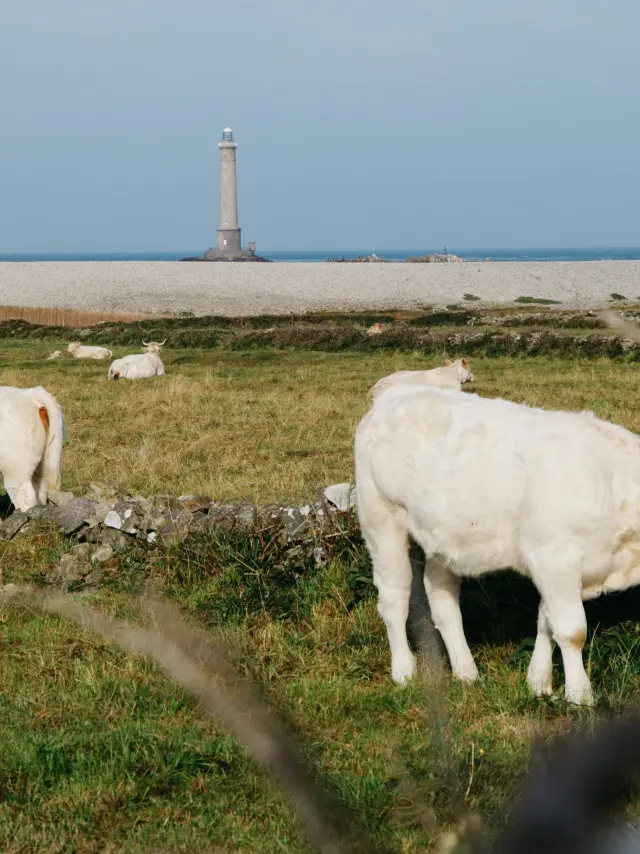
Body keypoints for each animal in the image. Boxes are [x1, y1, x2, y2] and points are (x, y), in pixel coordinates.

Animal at [354, 383, 640, 705]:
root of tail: (394, 394)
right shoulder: (554, 557)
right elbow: (571, 630)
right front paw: (579, 696)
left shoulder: (552, 566)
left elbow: (546, 621)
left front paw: (538, 683)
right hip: (381, 519)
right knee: (394, 598)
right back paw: (404, 671)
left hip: (441, 538)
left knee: (441, 598)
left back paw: (466, 671)